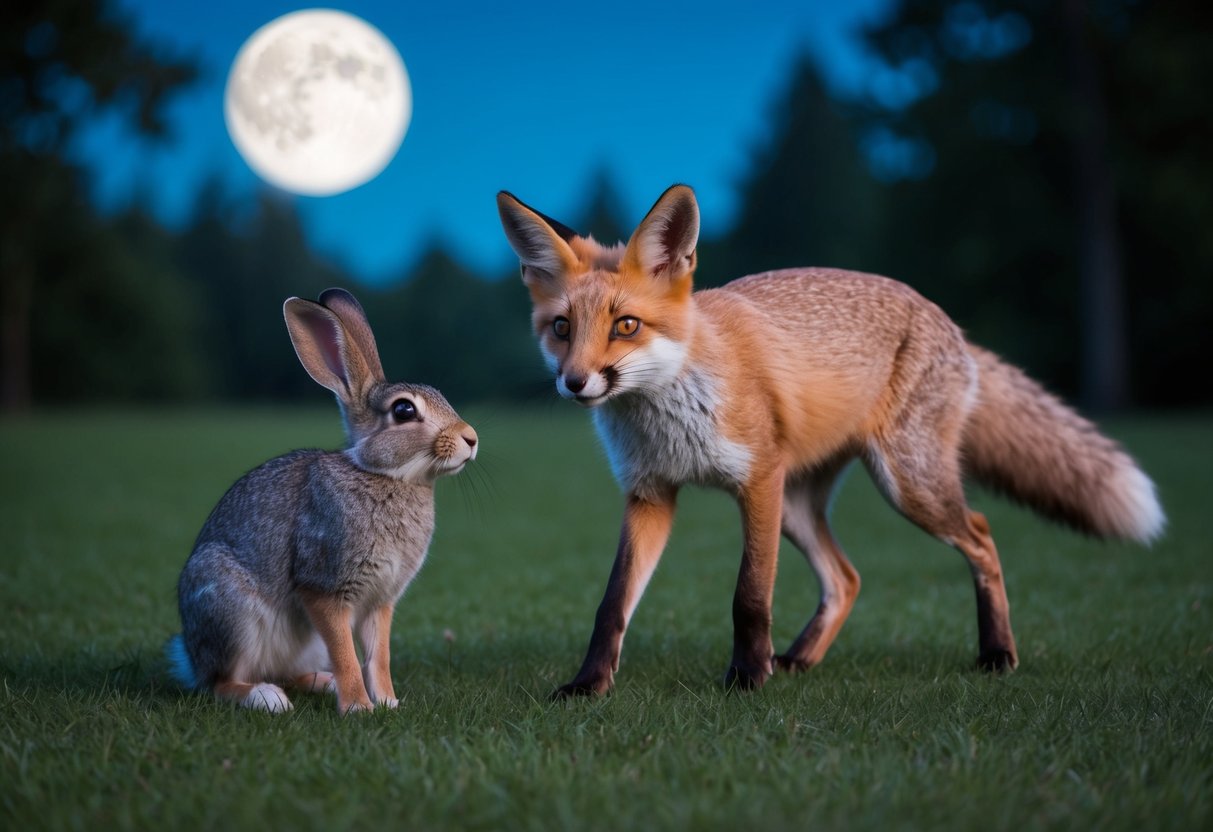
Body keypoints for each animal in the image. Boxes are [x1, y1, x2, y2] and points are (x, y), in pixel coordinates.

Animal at [166, 288, 478, 714]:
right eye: (403, 410)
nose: (471, 439)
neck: (383, 475)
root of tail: (191, 657)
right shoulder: (324, 589)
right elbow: (346, 653)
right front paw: (359, 708)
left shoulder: (380, 601)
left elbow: (378, 656)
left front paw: (388, 702)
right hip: (229, 613)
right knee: (221, 683)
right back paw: (267, 698)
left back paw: (321, 683)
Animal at [496, 183, 1165, 697]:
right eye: (562, 328)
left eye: (626, 325)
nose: (575, 383)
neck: (672, 412)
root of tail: (948, 321)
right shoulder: (649, 495)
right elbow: (612, 605)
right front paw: (589, 685)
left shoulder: (757, 482)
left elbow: (750, 596)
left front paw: (746, 680)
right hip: (801, 508)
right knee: (847, 578)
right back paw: (798, 660)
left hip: (906, 485)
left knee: (981, 536)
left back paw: (996, 653)